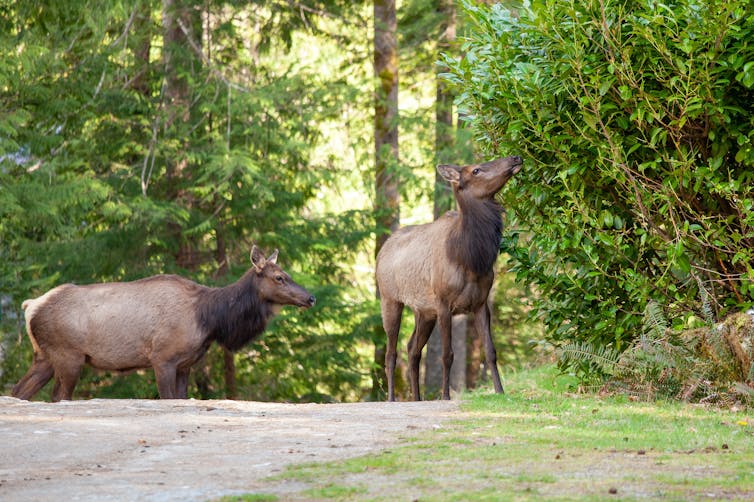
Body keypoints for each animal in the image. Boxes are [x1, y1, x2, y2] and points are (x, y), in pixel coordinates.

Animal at [11, 246, 315, 401]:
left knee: (19, 391)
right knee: (57, 396)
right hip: (69, 356)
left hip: (44, 356)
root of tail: (30, 306)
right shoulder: (162, 358)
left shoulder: (184, 365)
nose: (310, 297)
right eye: (279, 277)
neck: (210, 320)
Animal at [376, 156, 522, 401]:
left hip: (424, 311)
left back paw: (417, 398)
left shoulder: (480, 302)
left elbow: (491, 351)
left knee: (412, 348)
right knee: (391, 352)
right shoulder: (444, 303)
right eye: (476, 170)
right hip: (390, 299)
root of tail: (380, 252)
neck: (470, 260)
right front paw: (445, 396)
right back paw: (392, 398)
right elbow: (447, 354)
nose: (515, 157)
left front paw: (500, 390)